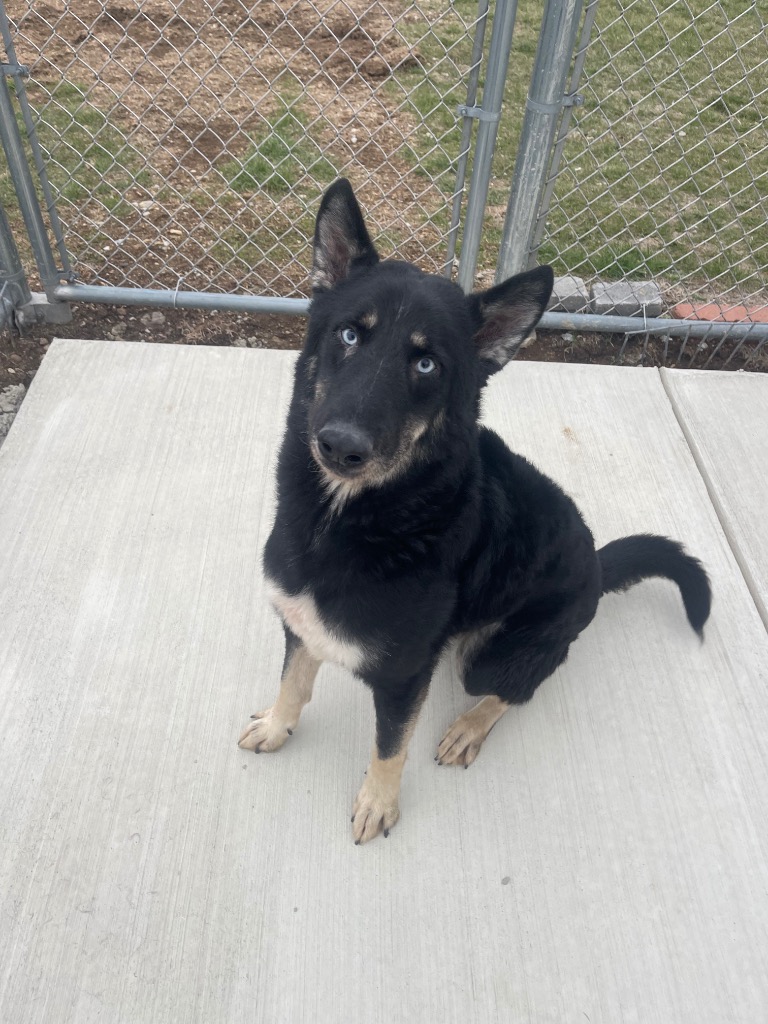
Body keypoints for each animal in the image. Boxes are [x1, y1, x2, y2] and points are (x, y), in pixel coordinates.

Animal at [238, 179, 712, 844]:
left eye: (426, 363)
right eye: (350, 335)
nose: (340, 446)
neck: (347, 519)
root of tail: (597, 564)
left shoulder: (403, 676)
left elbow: (389, 746)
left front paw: (378, 803)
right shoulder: (299, 624)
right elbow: (293, 683)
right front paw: (278, 727)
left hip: (492, 658)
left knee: (521, 685)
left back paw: (468, 726)